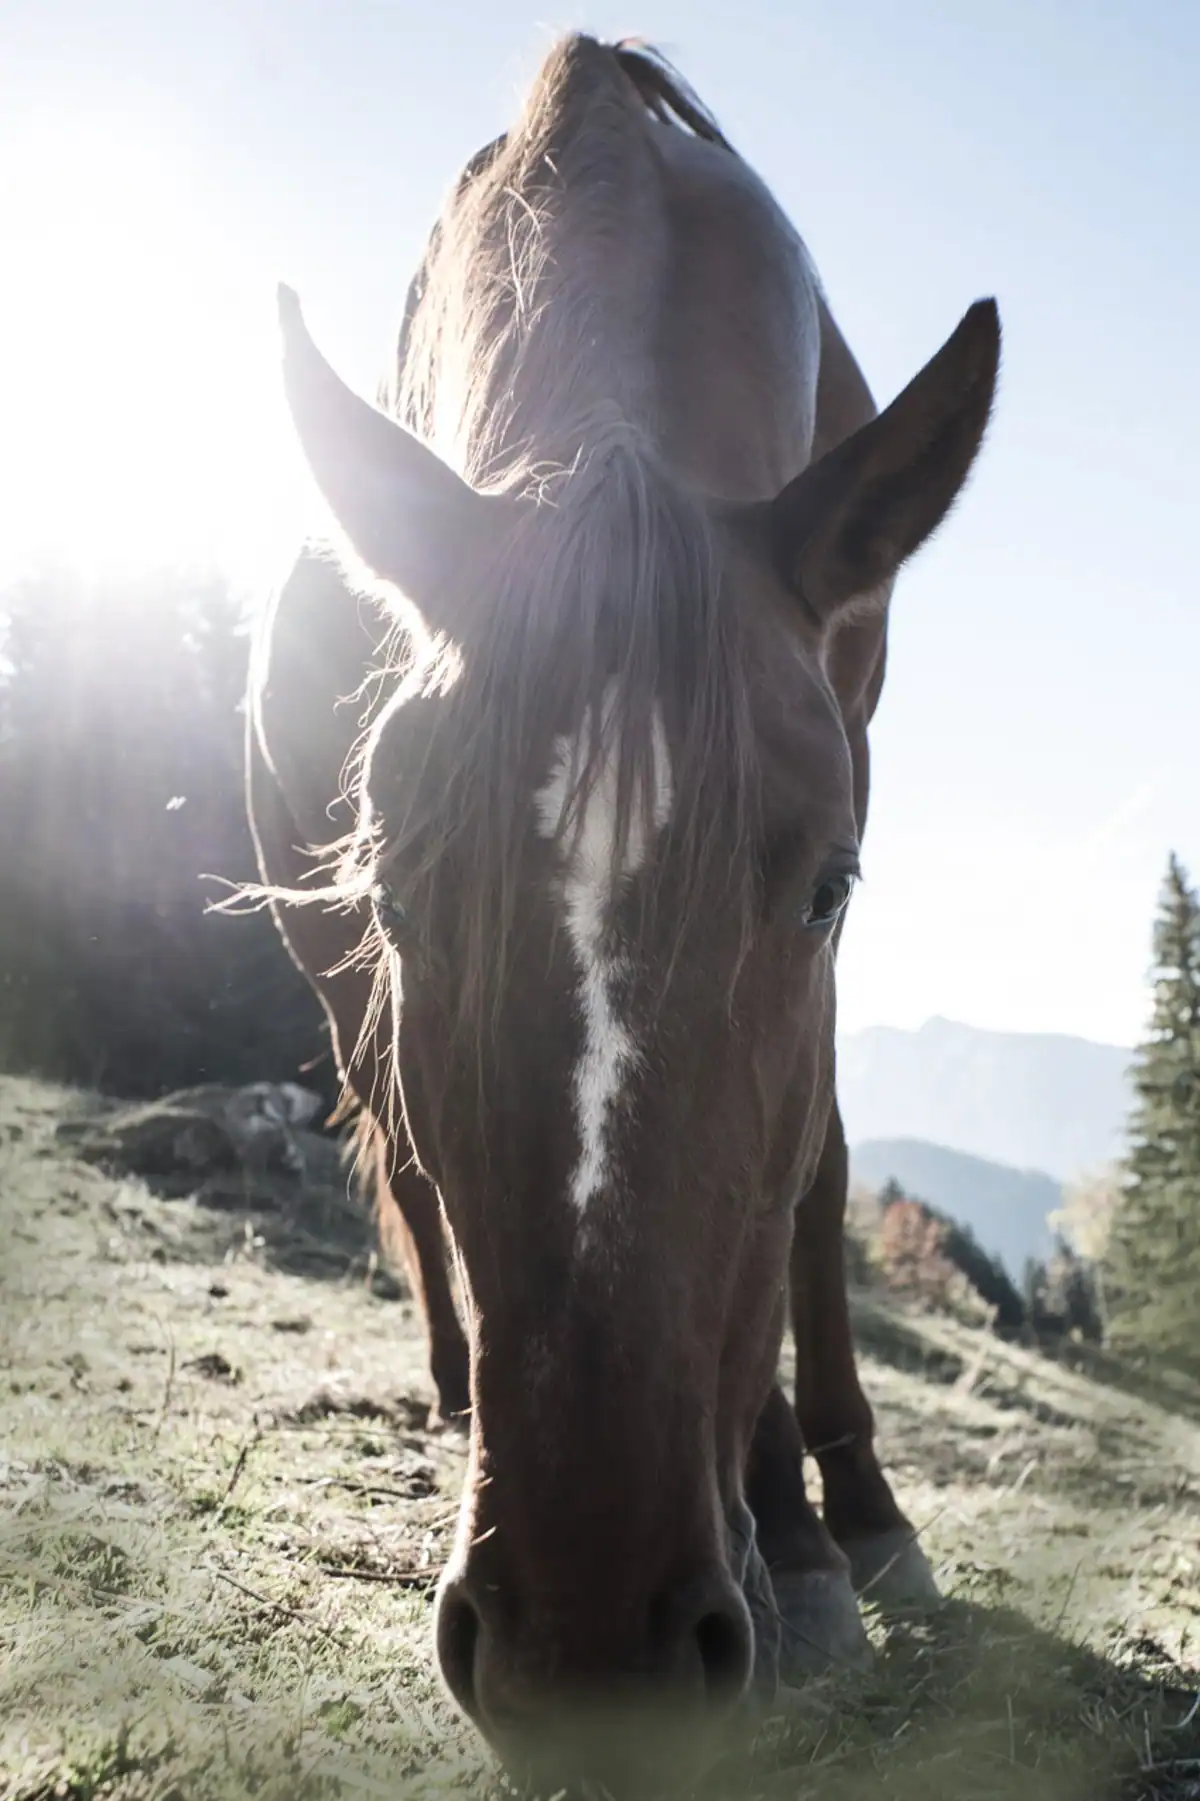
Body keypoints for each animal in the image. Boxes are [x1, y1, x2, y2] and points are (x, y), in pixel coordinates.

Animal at [247, 33, 999, 1791]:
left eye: (828, 885)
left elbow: (810, 1161)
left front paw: (841, 1518)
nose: (592, 1656)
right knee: (405, 1161)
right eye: (401, 879)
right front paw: (787, 1522)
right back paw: (463, 1394)